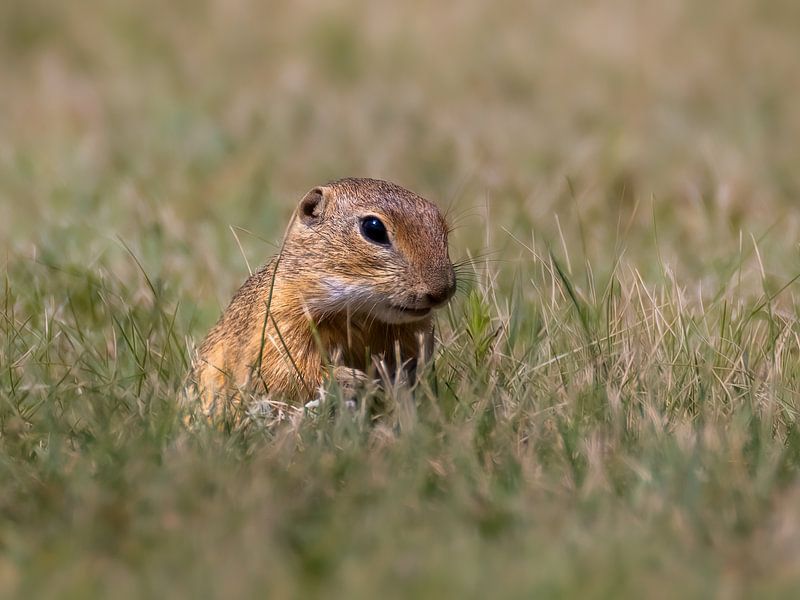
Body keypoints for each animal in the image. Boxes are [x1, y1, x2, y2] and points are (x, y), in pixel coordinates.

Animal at [190, 177, 456, 419]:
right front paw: (350, 379)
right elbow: (288, 372)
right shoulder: (278, 325)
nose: (442, 291)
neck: (359, 312)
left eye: (440, 222)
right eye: (373, 228)